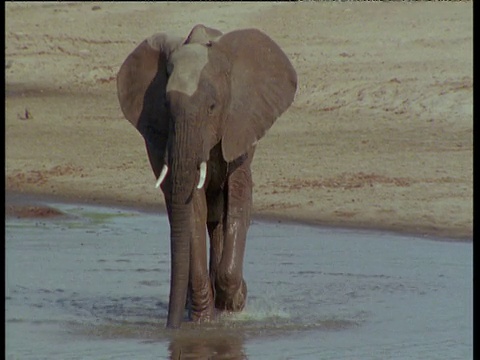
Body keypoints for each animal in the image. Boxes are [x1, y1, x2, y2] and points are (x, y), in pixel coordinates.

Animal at [116, 24, 296, 330]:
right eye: (166, 106)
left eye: (212, 107)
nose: (170, 328)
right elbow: (192, 211)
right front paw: (204, 322)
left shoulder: (240, 126)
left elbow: (238, 198)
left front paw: (235, 301)